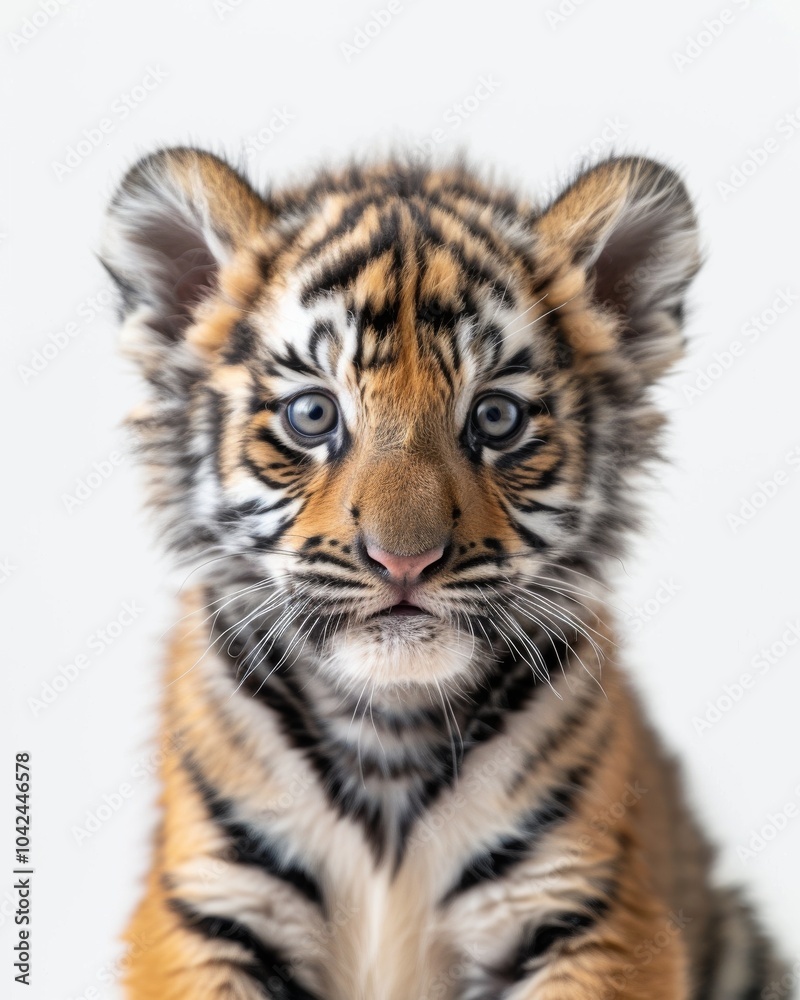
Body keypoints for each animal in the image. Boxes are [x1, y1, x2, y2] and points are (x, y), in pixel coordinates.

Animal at [100, 147, 786, 1000]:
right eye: (312, 415)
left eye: (496, 417)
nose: (405, 559)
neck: (388, 732)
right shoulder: (206, 905)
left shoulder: (589, 913)